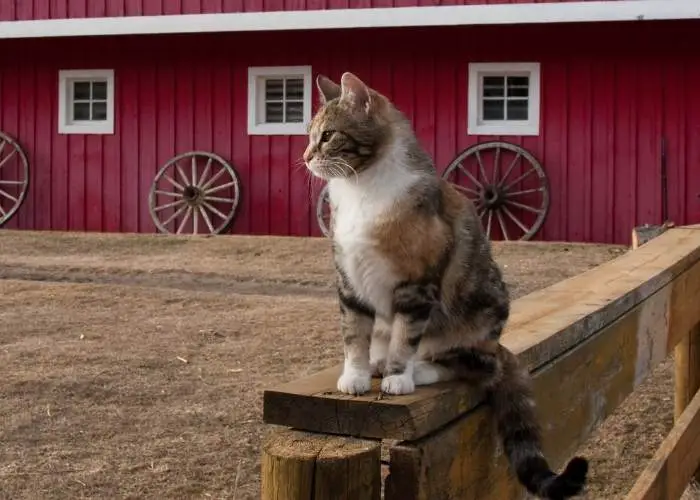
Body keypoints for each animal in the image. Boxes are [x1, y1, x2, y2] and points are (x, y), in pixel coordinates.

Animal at [304, 71, 588, 500]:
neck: (363, 189)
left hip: (479, 315)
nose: (305, 157)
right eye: (310, 135)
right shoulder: (349, 278)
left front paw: (398, 376)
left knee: (473, 365)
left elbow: (405, 336)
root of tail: (496, 344)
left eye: (328, 136)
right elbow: (354, 333)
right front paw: (356, 375)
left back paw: (419, 370)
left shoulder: (416, 283)